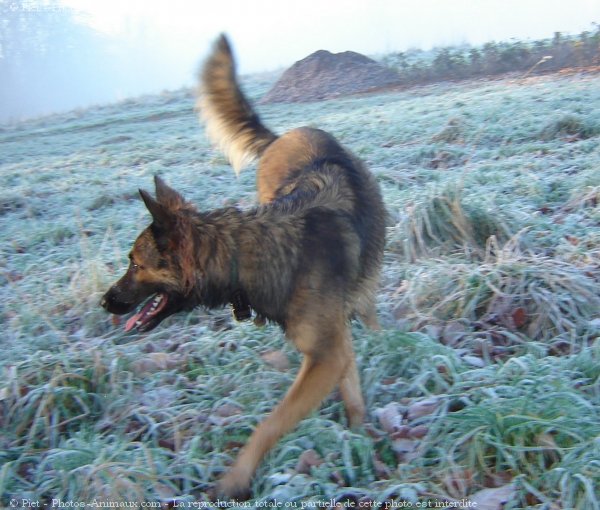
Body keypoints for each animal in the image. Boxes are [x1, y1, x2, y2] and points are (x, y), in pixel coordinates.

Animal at [101, 34, 386, 498]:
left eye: (134, 263)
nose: (104, 301)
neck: (241, 255)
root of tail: (284, 136)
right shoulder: (332, 349)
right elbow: (348, 387)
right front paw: (358, 437)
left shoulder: (326, 353)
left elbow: (271, 423)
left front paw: (235, 478)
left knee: (369, 306)